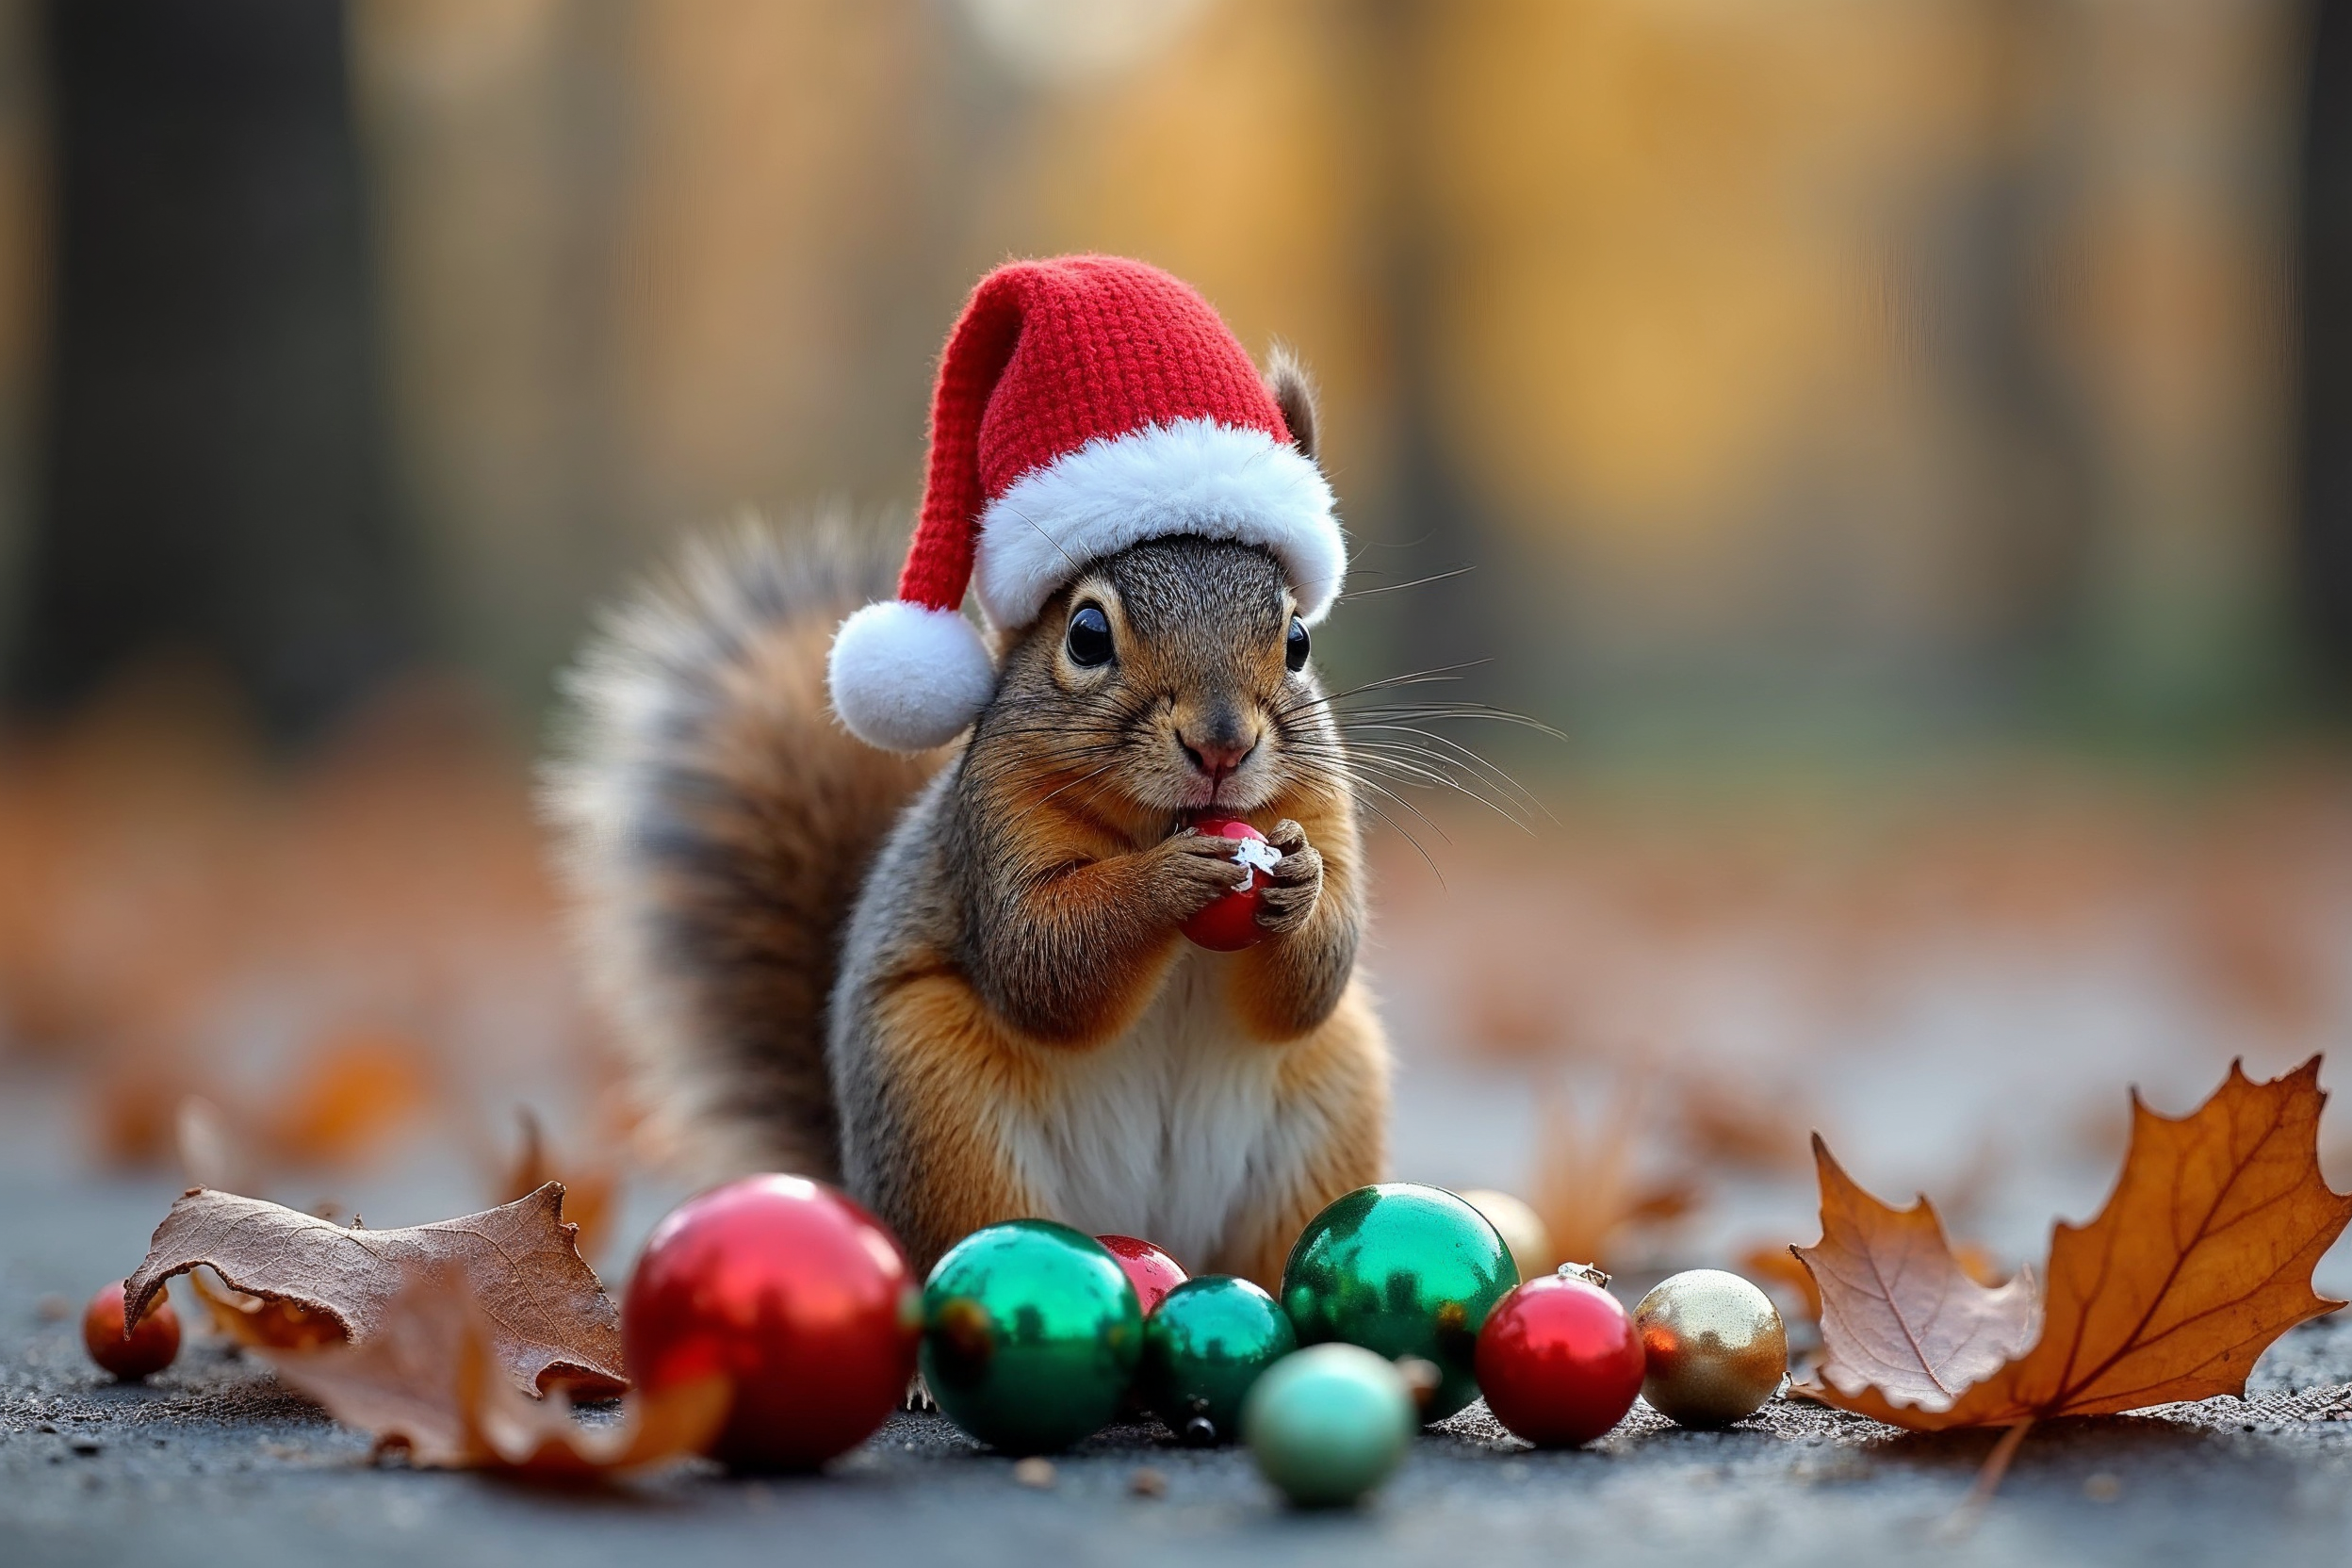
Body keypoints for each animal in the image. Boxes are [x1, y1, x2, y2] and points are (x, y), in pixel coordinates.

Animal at [546, 256, 1388, 1286]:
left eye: (1298, 640)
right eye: (1087, 634)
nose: (1223, 746)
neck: (1158, 818)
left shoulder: (1323, 803)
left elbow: (1315, 979)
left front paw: (1299, 881)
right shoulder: (994, 823)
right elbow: (1043, 959)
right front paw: (1166, 879)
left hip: (1326, 1117)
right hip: (942, 1115)